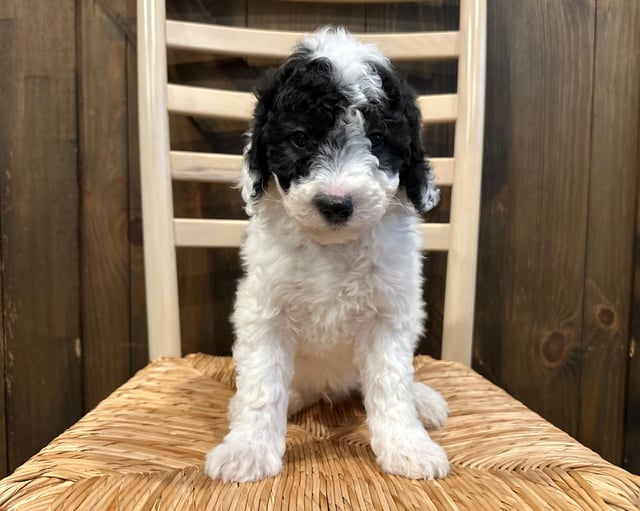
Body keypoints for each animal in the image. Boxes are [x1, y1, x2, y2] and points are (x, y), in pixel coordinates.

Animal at [206, 27, 450, 484]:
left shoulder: (389, 316)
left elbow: (391, 384)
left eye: (377, 140)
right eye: (300, 138)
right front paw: (248, 449)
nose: (336, 204)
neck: (331, 247)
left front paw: (407, 447)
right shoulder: (264, 312)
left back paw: (422, 400)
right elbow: (262, 385)